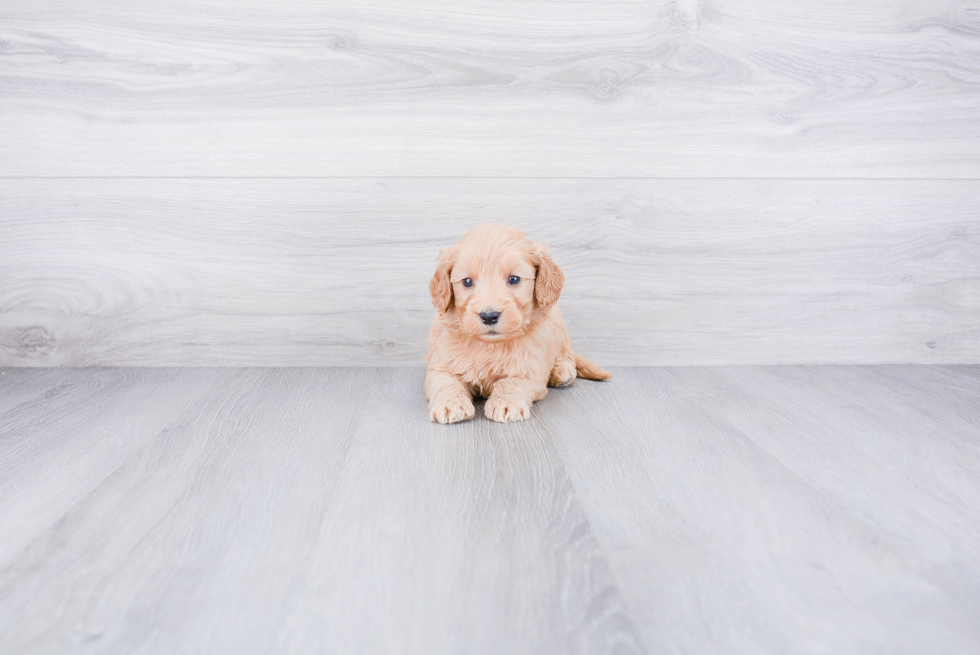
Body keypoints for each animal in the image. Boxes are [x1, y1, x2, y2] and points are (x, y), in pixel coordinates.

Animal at [424, 223, 608, 422]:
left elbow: (512, 382)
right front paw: (450, 405)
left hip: (559, 325)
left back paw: (562, 371)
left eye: (513, 279)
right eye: (467, 281)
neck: (490, 345)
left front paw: (506, 403)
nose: (489, 316)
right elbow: (446, 382)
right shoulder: (440, 366)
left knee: (566, 354)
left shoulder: (531, 369)